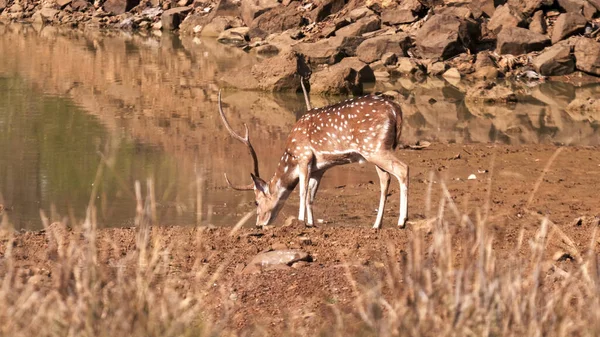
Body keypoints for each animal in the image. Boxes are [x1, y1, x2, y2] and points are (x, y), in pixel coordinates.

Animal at [218, 88, 410, 228]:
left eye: (256, 202)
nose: (259, 225)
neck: (291, 155)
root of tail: (396, 110)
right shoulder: (320, 168)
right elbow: (311, 194)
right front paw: (311, 223)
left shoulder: (304, 156)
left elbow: (302, 191)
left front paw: (301, 221)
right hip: (379, 149)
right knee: (385, 178)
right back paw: (377, 225)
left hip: (374, 147)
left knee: (403, 169)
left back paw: (402, 221)